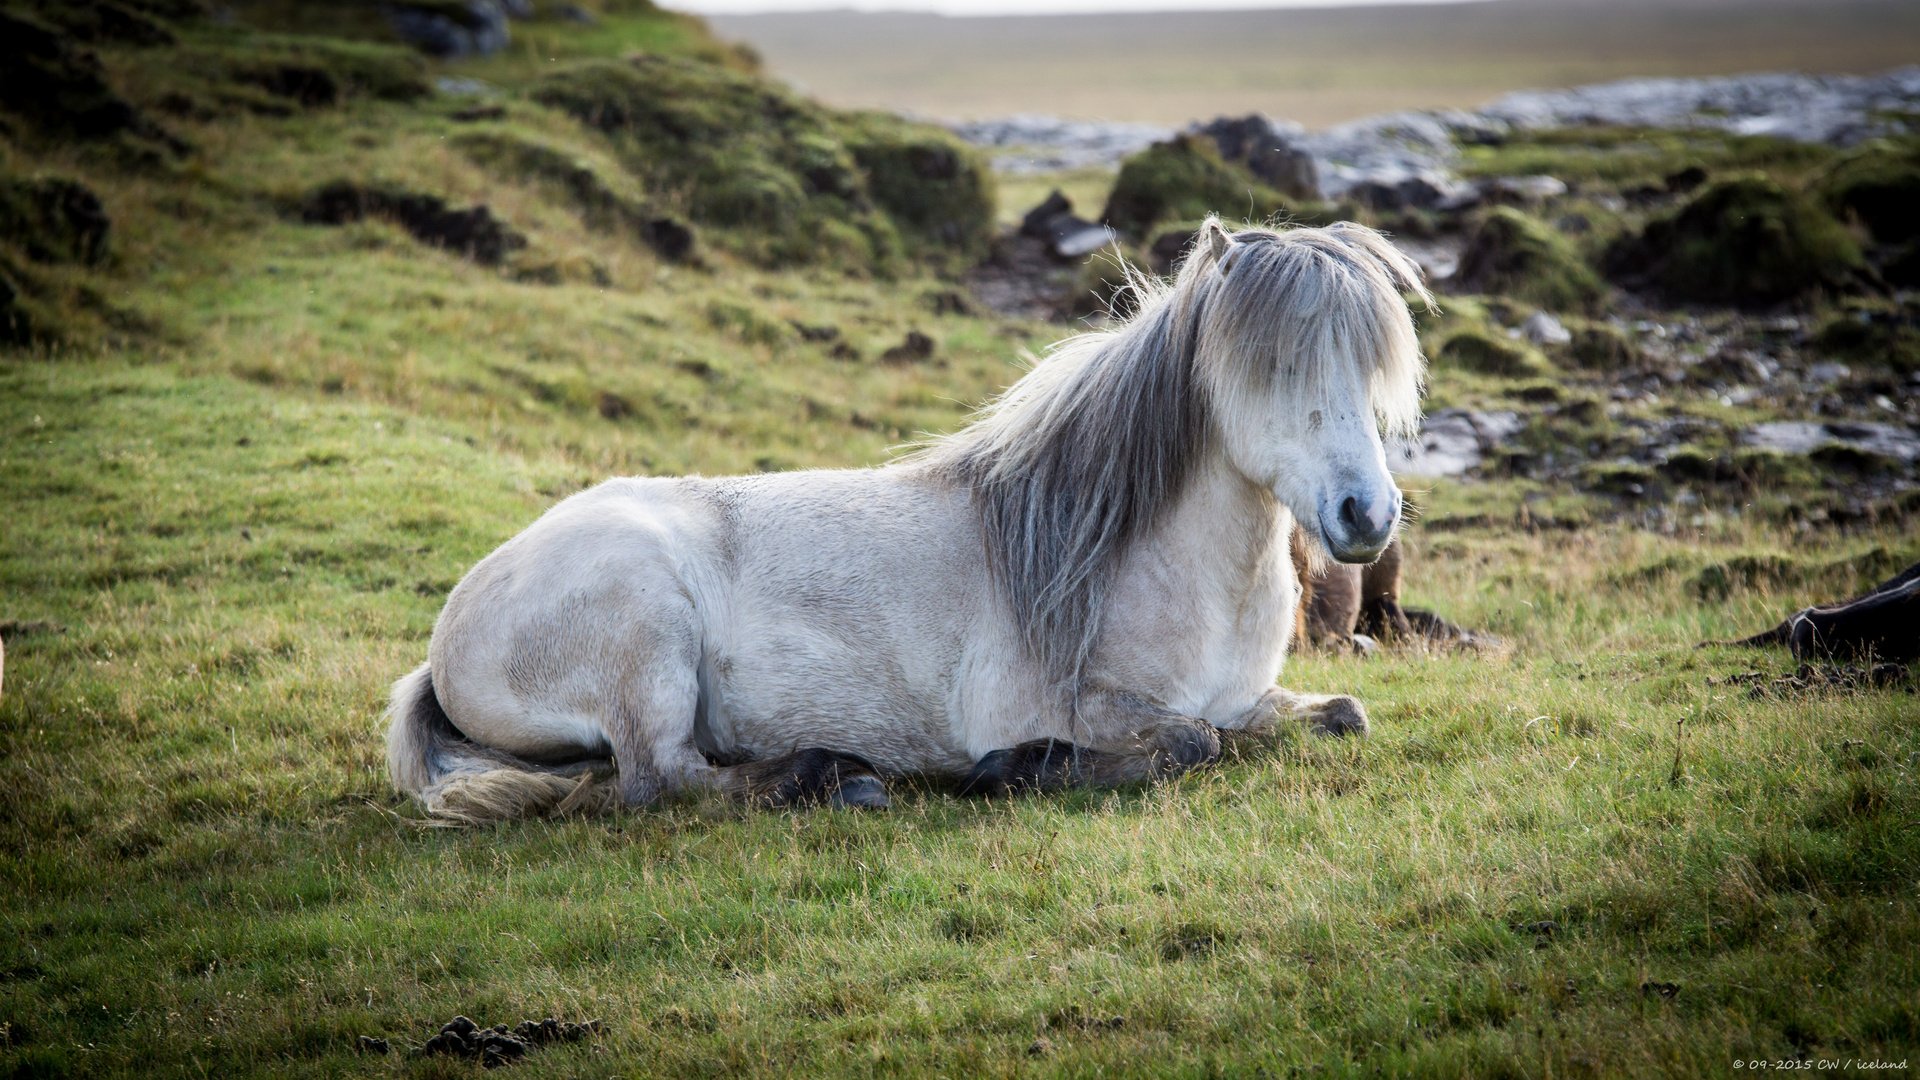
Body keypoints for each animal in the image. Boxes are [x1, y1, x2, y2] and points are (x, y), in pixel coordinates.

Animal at [385, 220, 1428, 822]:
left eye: (1375, 367)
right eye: (1275, 365)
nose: (1366, 514)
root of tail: (452, 628)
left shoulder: (1250, 698)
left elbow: (1337, 716)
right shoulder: (1077, 705)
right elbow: (1188, 744)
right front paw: (1015, 768)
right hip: (645, 626)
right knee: (662, 781)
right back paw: (832, 778)